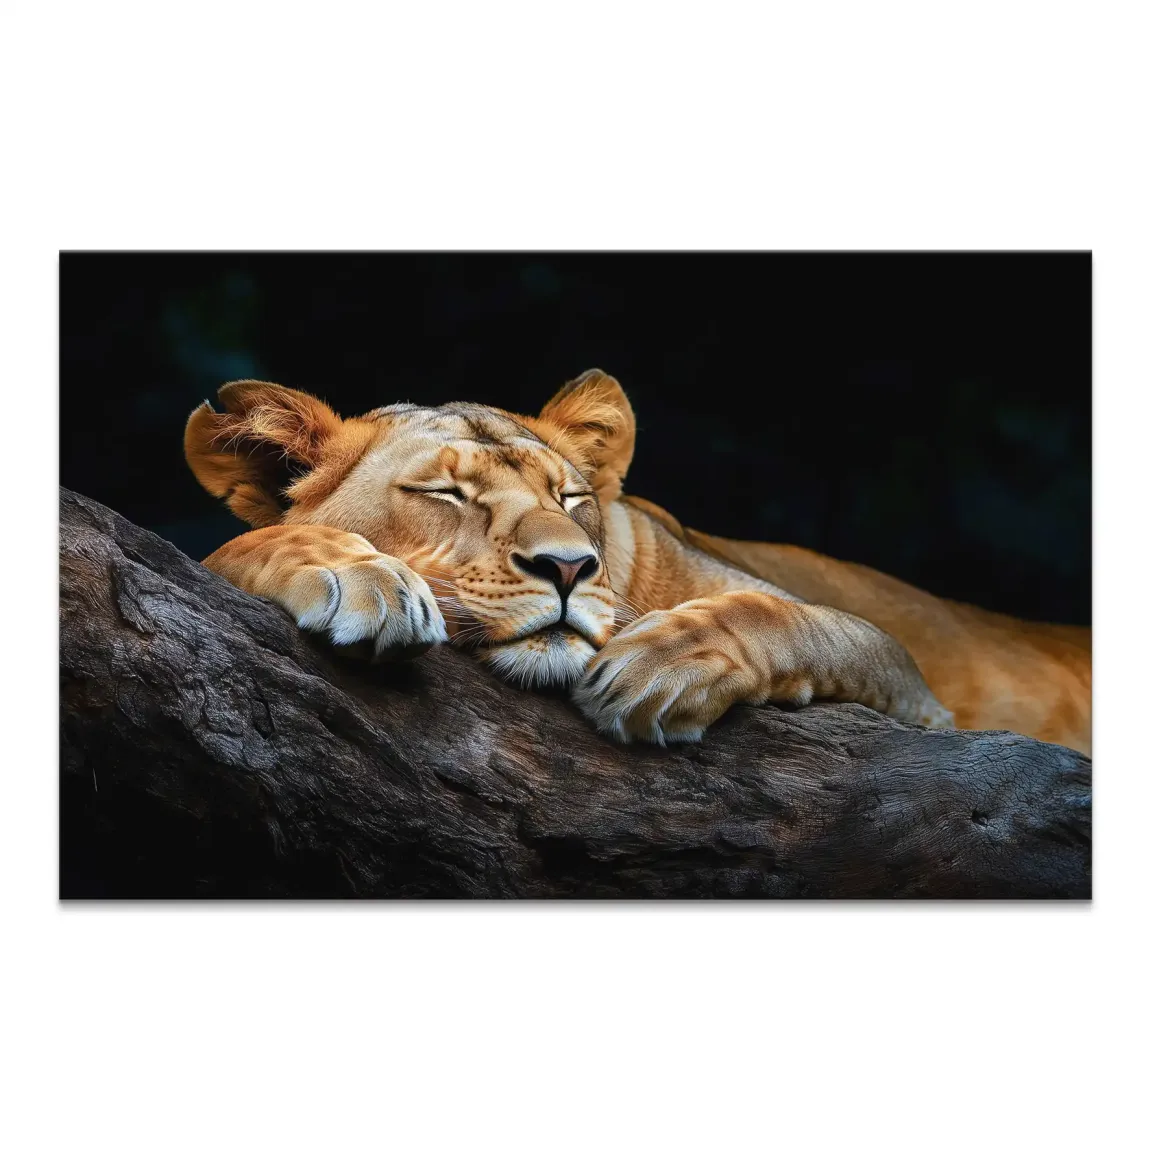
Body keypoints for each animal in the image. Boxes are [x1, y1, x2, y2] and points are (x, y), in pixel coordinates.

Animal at [184, 369, 1091, 753]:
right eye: (445, 494)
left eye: (570, 497)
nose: (568, 568)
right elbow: (231, 545)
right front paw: (362, 575)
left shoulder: (917, 693)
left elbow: (783, 615)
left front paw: (659, 666)